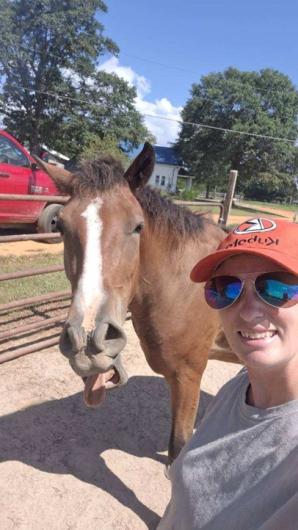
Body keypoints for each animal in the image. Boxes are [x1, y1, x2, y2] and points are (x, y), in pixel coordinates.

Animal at [35, 143, 233, 462]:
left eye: (138, 226)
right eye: (61, 226)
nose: (87, 339)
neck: (185, 281)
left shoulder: (188, 376)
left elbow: (178, 450)